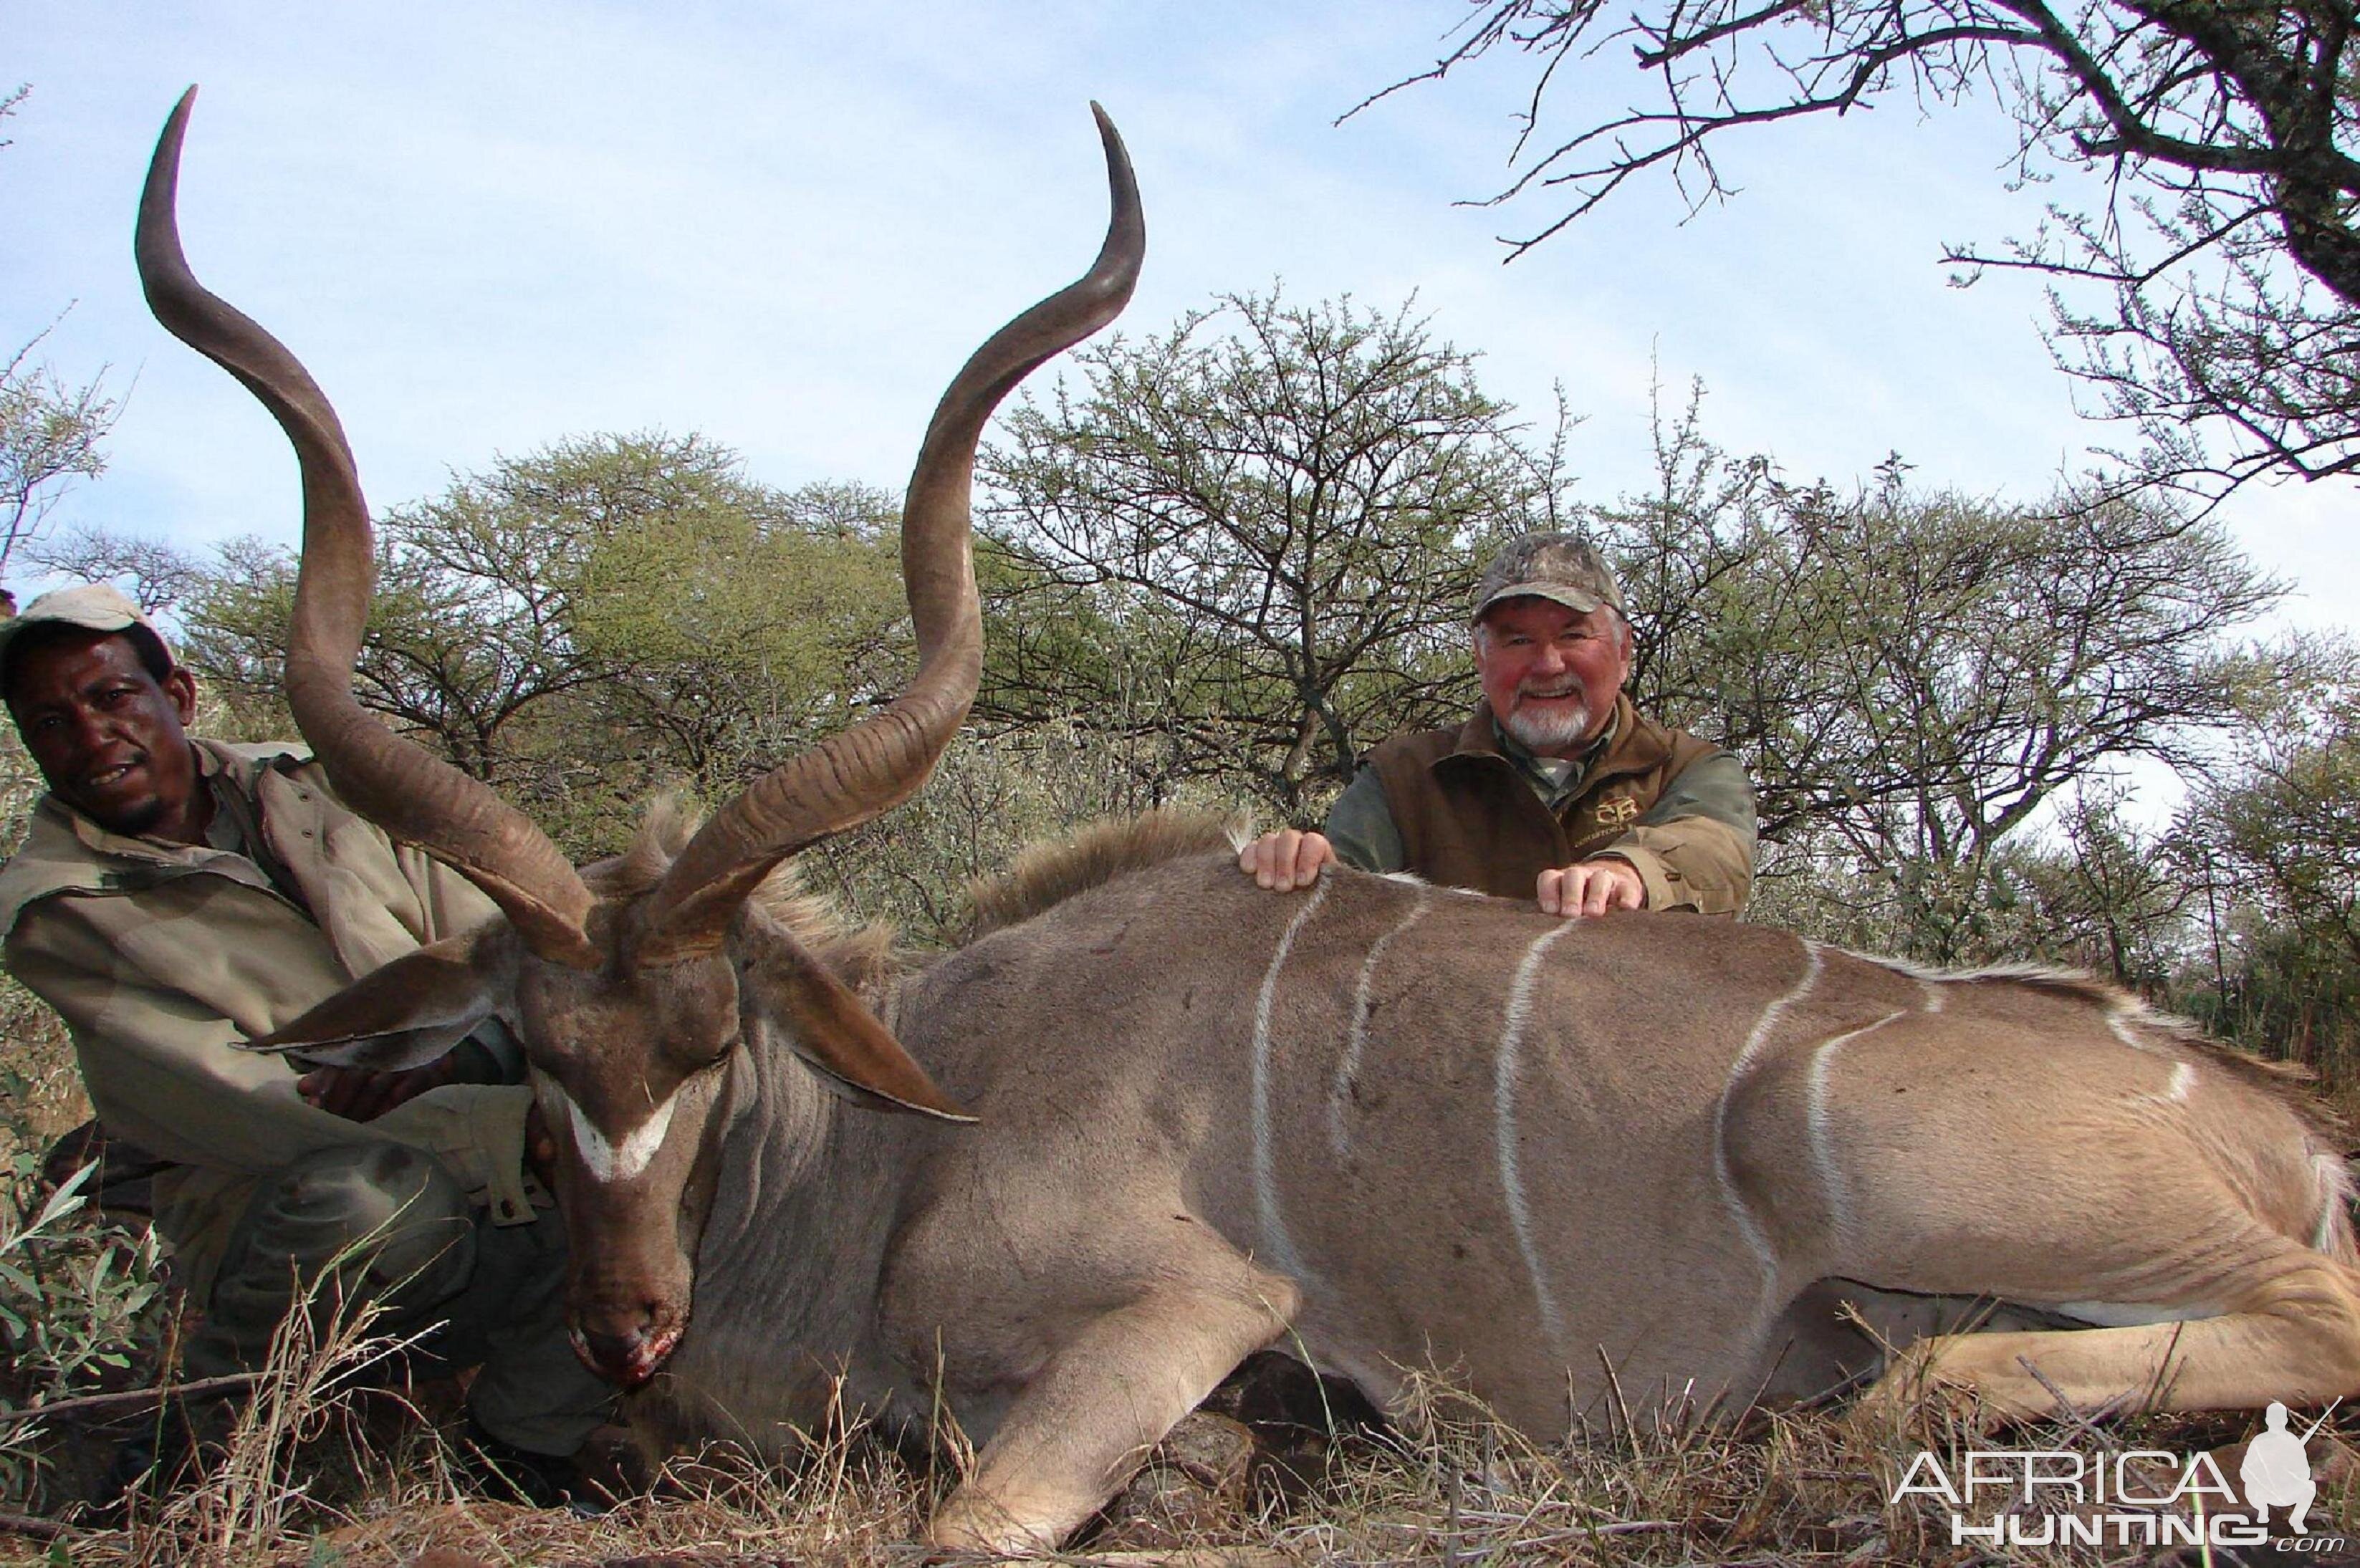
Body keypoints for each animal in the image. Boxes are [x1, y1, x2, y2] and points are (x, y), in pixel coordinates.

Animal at [138, 92, 2360, 1547]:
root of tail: (2275, 1115)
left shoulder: (1186, 1310)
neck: (898, 1127)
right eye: (528, 1048)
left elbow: (978, 1511)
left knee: (2242, 1322)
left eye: (710, 1033)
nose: (623, 1324)